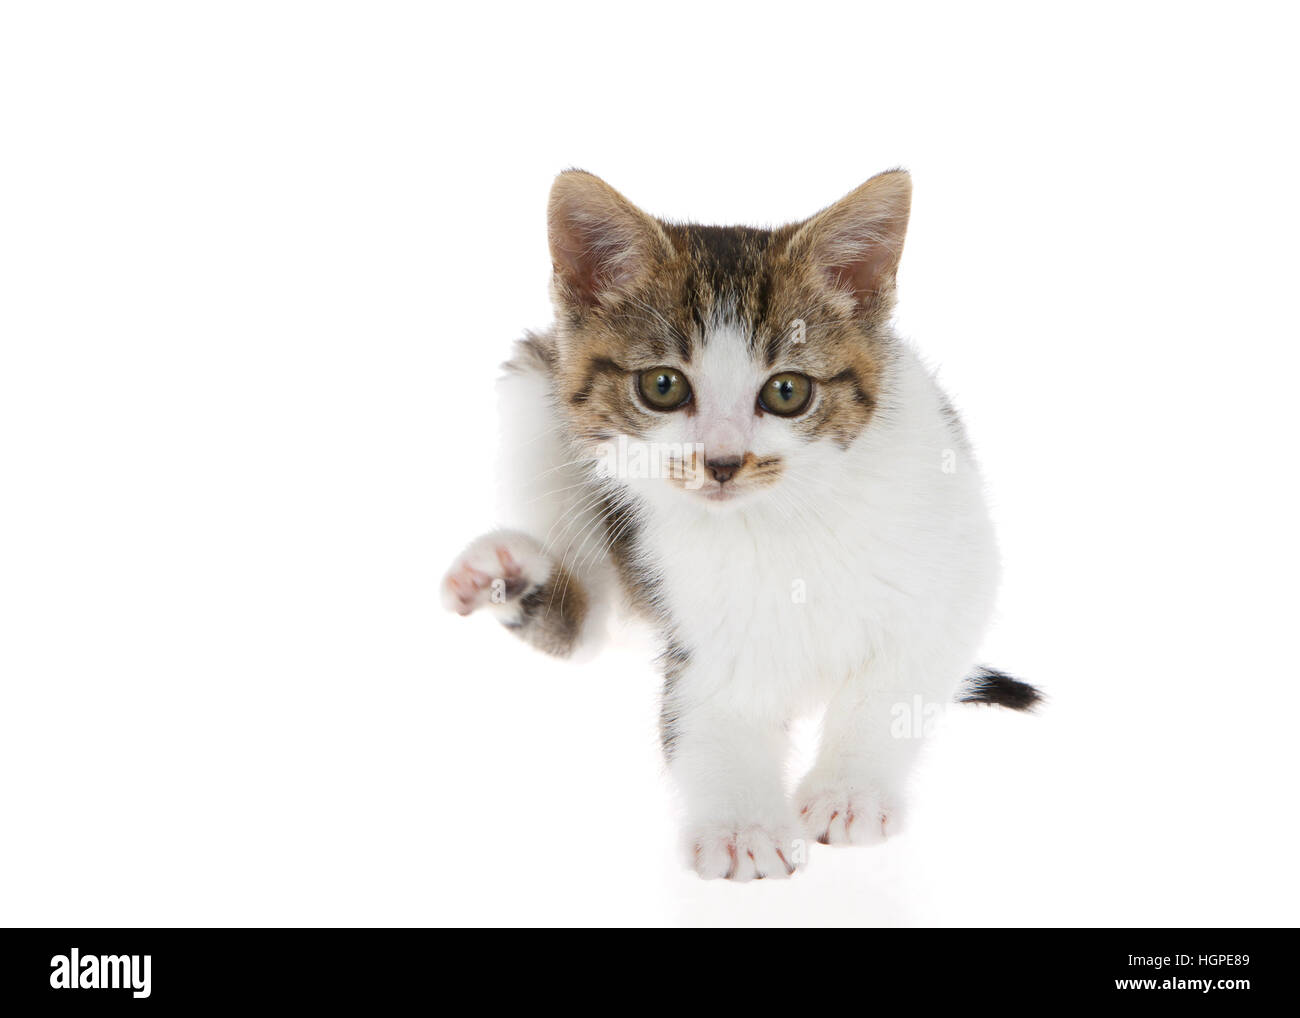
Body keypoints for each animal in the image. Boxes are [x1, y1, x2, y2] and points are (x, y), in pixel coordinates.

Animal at [444, 171, 1034, 878]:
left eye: (787, 392)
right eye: (662, 386)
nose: (723, 462)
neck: (783, 517)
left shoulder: (956, 562)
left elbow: (899, 681)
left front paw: (849, 791)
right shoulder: (690, 609)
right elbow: (710, 708)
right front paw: (741, 825)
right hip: (534, 393)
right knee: (590, 628)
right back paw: (510, 576)